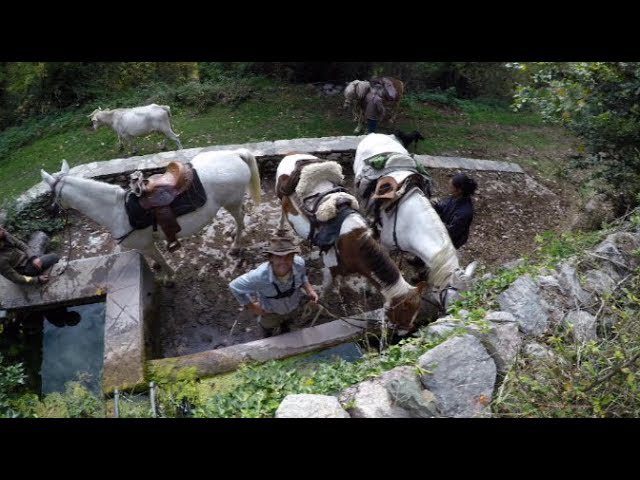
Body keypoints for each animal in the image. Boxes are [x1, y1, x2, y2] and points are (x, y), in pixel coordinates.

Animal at [40, 149, 262, 275]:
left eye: (51, 193)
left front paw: (169, 276)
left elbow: (161, 258)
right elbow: (156, 258)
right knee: (240, 217)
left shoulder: (145, 244)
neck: (117, 211)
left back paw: (235, 246)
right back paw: (233, 233)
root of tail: (234, 154)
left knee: (241, 218)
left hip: (232, 201)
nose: (53, 210)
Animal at [275, 153, 427, 333]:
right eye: (403, 311)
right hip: (281, 198)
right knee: (282, 211)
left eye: (416, 311)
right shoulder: (330, 267)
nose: (404, 332)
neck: (354, 244)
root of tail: (292, 155)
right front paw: (314, 311)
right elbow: (325, 290)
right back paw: (280, 228)